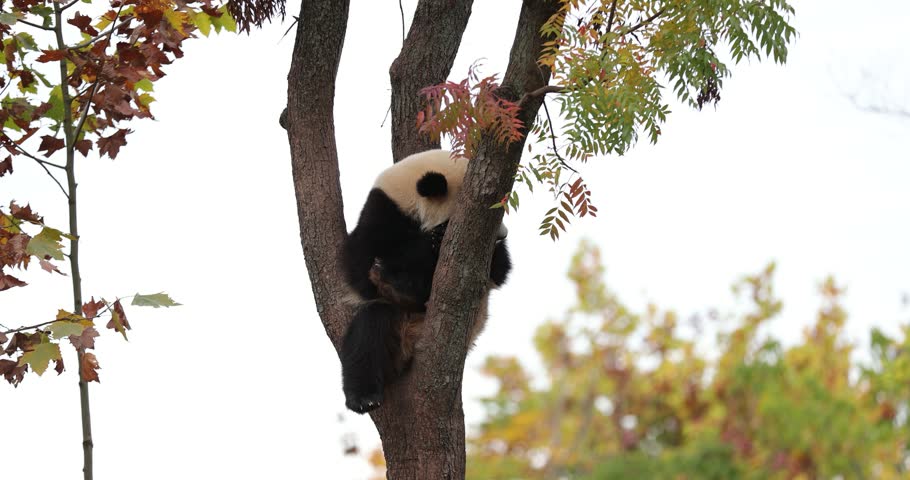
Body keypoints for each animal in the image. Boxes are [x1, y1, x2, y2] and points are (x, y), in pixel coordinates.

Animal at [340, 149, 511, 414]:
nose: (503, 235)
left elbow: (499, 272)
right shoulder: (381, 213)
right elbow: (359, 268)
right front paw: (434, 239)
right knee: (370, 328)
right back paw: (363, 397)